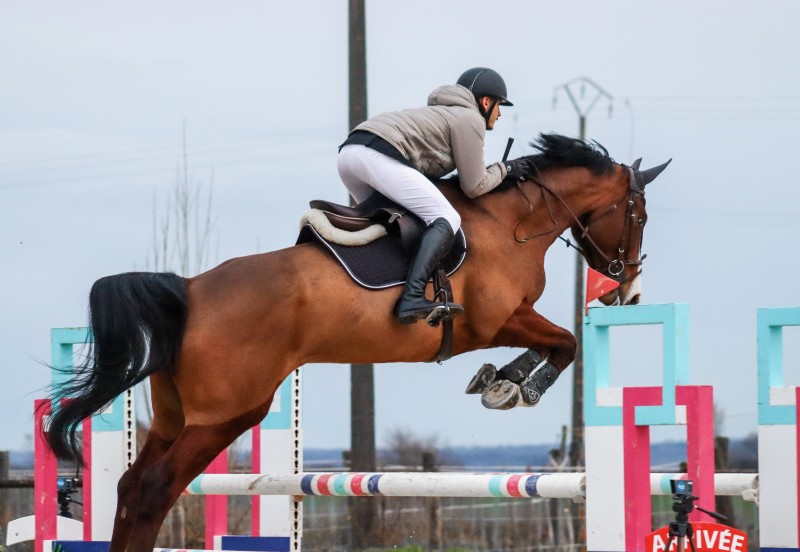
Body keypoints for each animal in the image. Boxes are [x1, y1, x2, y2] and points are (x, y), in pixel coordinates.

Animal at [44, 133, 669, 552]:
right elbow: (565, 343)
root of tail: (191, 290)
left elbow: (555, 343)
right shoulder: (498, 321)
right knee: (153, 489)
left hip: (178, 415)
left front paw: (499, 381)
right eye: (638, 214)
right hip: (225, 416)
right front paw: (514, 387)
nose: (630, 291)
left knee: (130, 486)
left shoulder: (507, 322)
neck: (509, 220)